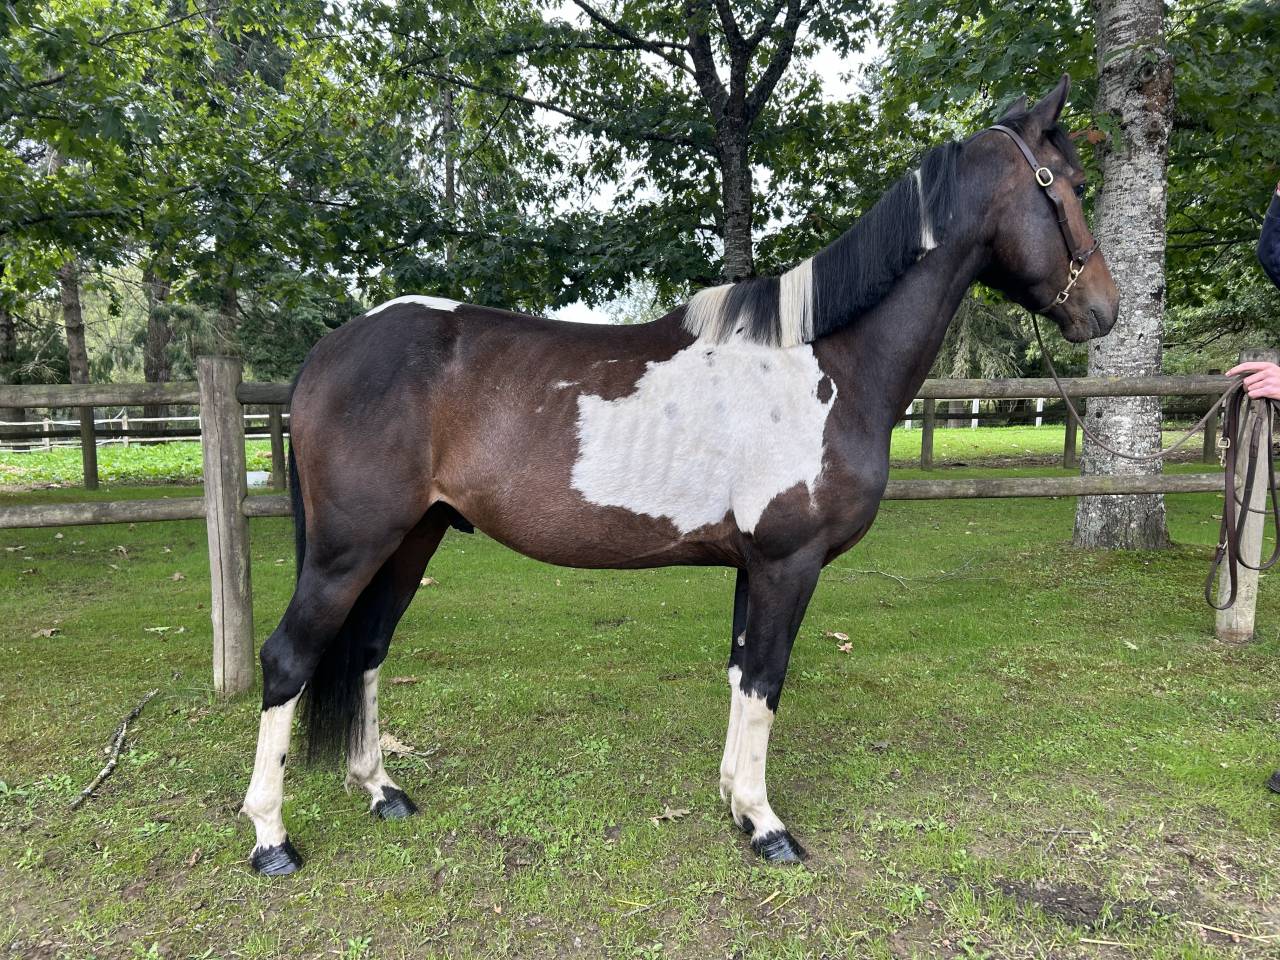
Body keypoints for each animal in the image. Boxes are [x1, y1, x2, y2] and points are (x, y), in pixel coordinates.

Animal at [240, 74, 1119, 874]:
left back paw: (380, 790)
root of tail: (333, 346)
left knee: (364, 651)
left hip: (411, 540)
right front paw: (766, 825)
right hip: (350, 548)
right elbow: (765, 680)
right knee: (288, 660)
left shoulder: (753, 565)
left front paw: (735, 802)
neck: (829, 363)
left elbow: (739, 675)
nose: (1104, 311)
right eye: (1069, 184)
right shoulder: (788, 563)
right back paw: (272, 839)